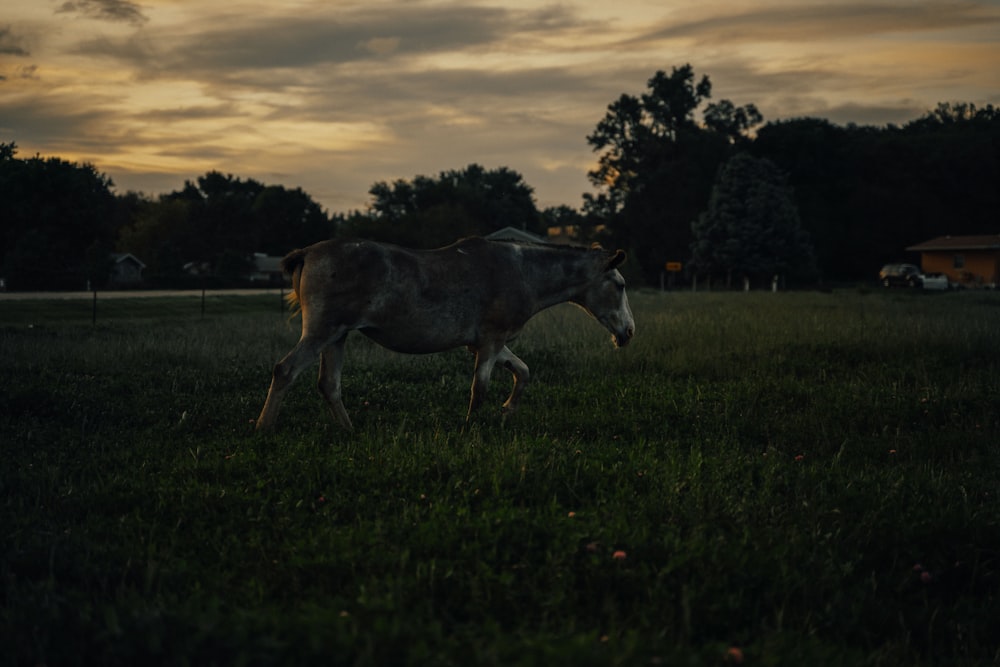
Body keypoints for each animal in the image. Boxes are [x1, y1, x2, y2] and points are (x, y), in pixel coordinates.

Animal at [258, 237, 632, 430]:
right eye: (620, 285)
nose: (628, 331)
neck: (523, 272)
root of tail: (308, 252)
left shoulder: (485, 344)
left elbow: (523, 372)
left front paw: (507, 410)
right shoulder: (491, 343)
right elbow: (479, 389)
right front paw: (471, 428)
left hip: (337, 338)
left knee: (329, 385)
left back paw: (349, 431)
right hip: (321, 333)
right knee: (285, 370)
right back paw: (263, 427)